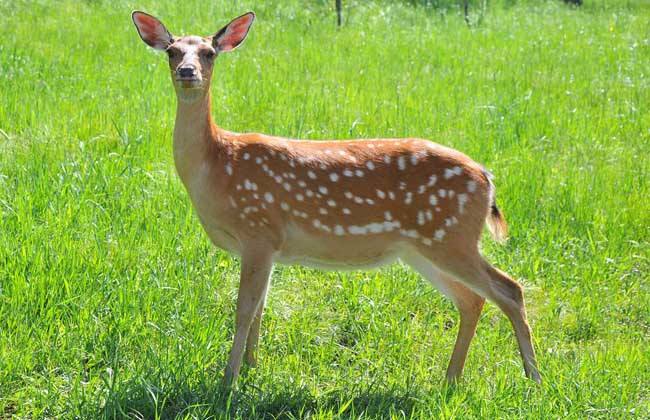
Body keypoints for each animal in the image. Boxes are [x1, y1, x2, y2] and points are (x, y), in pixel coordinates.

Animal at [129, 9, 540, 388]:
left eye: (210, 52)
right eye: (172, 51)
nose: (187, 72)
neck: (216, 165)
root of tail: (486, 177)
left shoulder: (258, 230)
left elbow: (244, 309)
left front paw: (228, 379)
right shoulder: (269, 246)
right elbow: (261, 308)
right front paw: (251, 368)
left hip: (451, 236)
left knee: (509, 289)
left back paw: (533, 377)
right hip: (422, 247)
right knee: (472, 299)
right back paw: (451, 379)